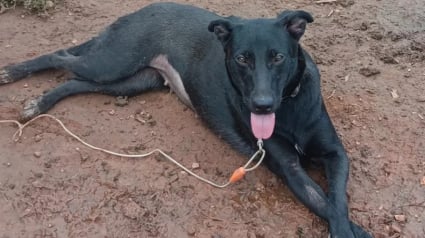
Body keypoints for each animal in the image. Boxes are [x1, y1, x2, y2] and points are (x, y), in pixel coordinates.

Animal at [0, 2, 370, 238]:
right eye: (241, 59)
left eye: (278, 57)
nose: (262, 106)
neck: (288, 107)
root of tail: (140, 10)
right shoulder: (288, 167)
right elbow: (326, 204)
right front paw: (350, 231)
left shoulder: (335, 154)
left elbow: (337, 200)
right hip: (113, 62)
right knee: (61, 56)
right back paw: (15, 75)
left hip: (132, 80)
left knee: (75, 81)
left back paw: (40, 102)